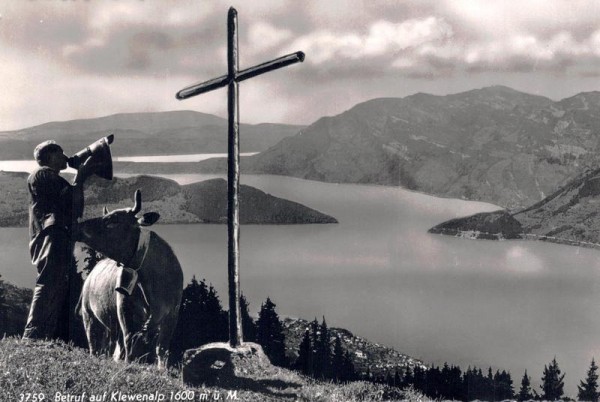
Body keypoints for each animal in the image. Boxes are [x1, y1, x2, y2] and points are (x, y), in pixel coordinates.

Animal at [78, 190, 184, 370]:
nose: (79, 225)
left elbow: (162, 349)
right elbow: (130, 343)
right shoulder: (125, 310)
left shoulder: (172, 315)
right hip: (89, 315)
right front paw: (129, 366)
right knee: (95, 344)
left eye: (114, 220)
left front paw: (161, 370)